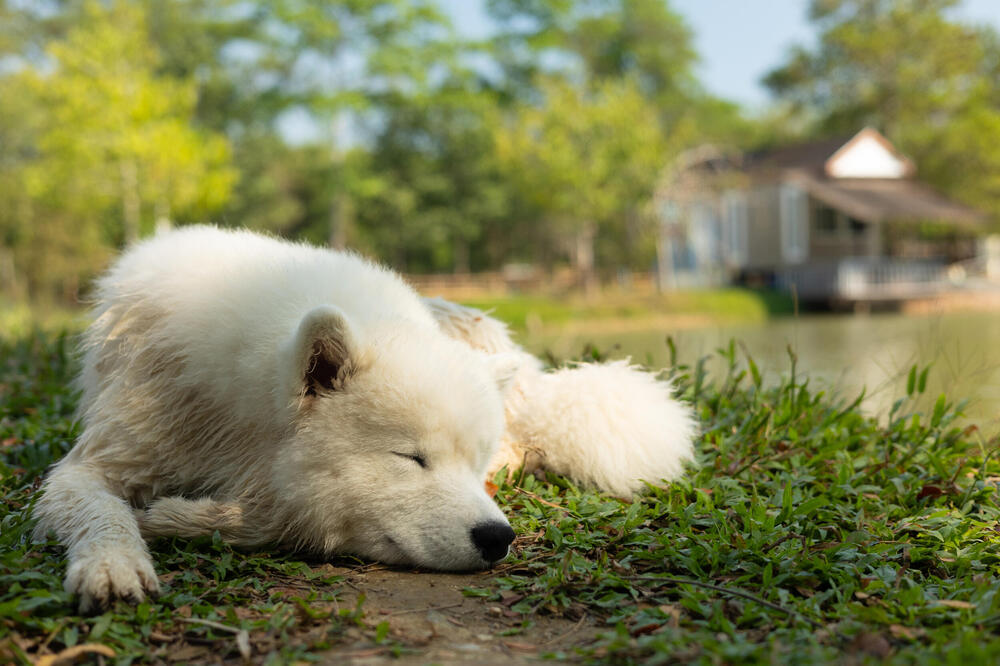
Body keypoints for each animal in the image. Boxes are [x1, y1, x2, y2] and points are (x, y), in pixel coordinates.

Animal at [31, 226, 696, 608]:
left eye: (468, 464)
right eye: (413, 459)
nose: (498, 538)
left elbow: (276, 519)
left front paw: (177, 518)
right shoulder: (102, 458)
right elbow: (101, 512)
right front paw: (113, 566)